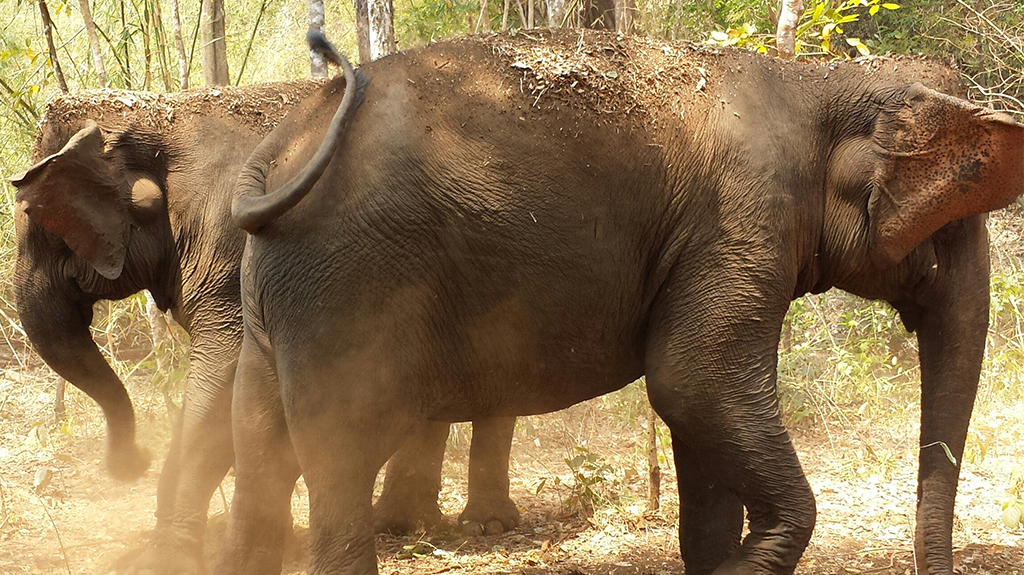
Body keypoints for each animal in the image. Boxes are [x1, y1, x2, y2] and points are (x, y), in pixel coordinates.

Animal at [11, 80, 520, 568]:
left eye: (43, 225)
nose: (132, 462)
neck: (159, 114)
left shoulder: (233, 253)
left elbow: (222, 378)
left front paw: (166, 556)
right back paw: (402, 524)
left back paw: (483, 525)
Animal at [216, 30, 1024, 572]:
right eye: (953, 222)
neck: (819, 81)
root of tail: (279, 145)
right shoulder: (740, 219)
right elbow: (691, 380)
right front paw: (748, 557)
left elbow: (699, 415)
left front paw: (720, 558)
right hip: (347, 290)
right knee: (338, 463)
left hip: (278, 303)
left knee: (261, 456)